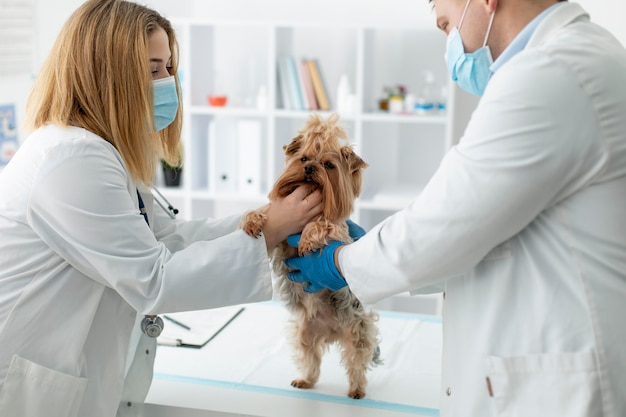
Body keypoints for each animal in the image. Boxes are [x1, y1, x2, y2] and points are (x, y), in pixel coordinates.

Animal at [241, 112, 380, 398]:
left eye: (328, 165)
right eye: (304, 159)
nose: (309, 169)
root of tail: (331, 331)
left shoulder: (338, 231)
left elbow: (321, 225)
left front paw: (307, 240)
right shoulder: (280, 242)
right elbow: (267, 216)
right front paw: (252, 220)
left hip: (357, 330)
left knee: (356, 361)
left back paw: (356, 390)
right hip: (304, 332)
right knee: (311, 359)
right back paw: (305, 380)